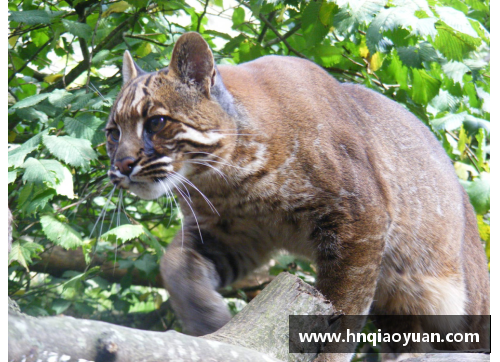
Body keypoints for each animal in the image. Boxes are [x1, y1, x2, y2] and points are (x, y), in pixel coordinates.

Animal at [105, 32, 488, 360]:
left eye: (156, 122)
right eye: (113, 133)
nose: (121, 165)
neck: (229, 179)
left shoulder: (359, 221)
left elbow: (342, 310)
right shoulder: (232, 234)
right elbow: (173, 264)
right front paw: (208, 323)